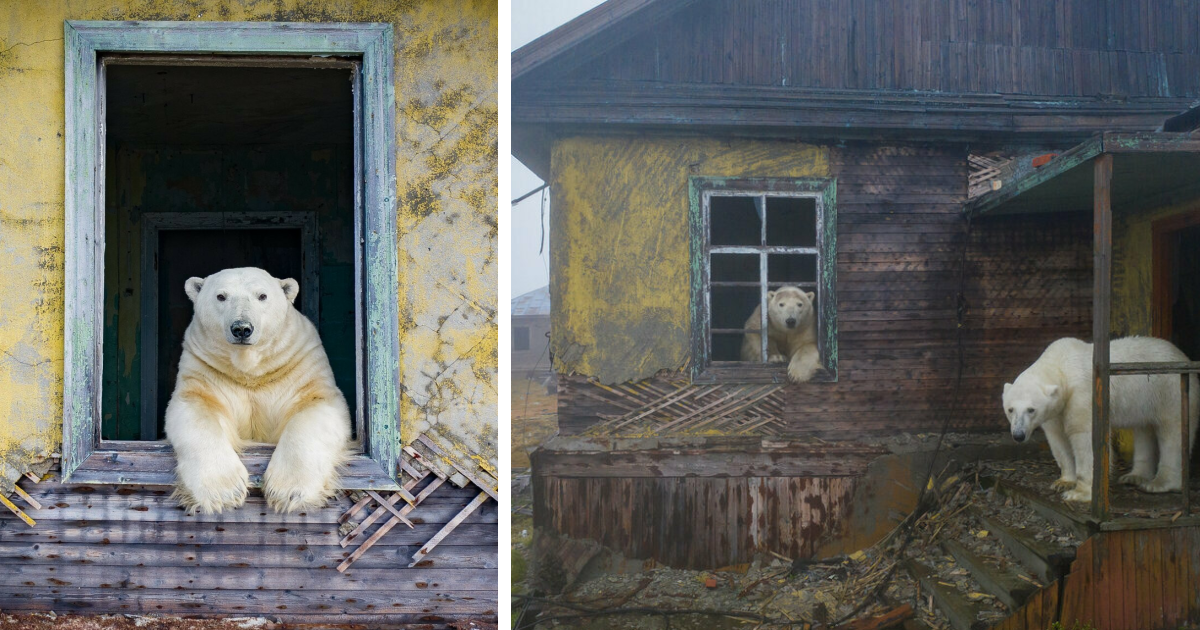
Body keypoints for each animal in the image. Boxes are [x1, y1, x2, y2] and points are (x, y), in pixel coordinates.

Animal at [164, 267, 351, 515]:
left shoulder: (299, 364)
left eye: (262, 296)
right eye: (221, 296)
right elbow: (196, 408)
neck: (251, 371)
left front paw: (288, 491)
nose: (242, 328)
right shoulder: (205, 369)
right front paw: (224, 492)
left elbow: (315, 406)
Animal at [1002, 336, 1199, 503]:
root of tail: (1183, 356)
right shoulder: (1056, 411)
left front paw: (1078, 493)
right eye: (1010, 409)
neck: (1061, 366)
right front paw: (1063, 482)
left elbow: (1086, 438)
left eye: (1031, 409)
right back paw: (1135, 476)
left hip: (1169, 390)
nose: (1018, 435)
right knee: (1144, 429)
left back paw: (1159, 483)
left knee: (1172, 432)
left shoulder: (1082, 395)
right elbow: (1058, 439)